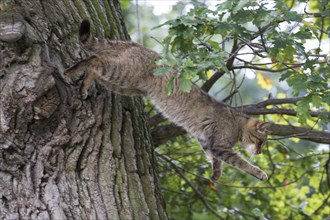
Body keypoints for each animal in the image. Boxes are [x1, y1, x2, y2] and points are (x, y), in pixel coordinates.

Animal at [65, 20, 270, 182]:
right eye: (261, 142)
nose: (260, 152)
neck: (237, 123)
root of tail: (138, 46)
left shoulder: (206, 139)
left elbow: (214, 159)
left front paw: (216, 174)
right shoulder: (220, 145)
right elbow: (240, 162)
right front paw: (259, 172)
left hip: (123, 83)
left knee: (93, 63)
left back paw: (80, 82)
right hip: (121, 73)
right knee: (94, 61)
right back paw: (72, 73)